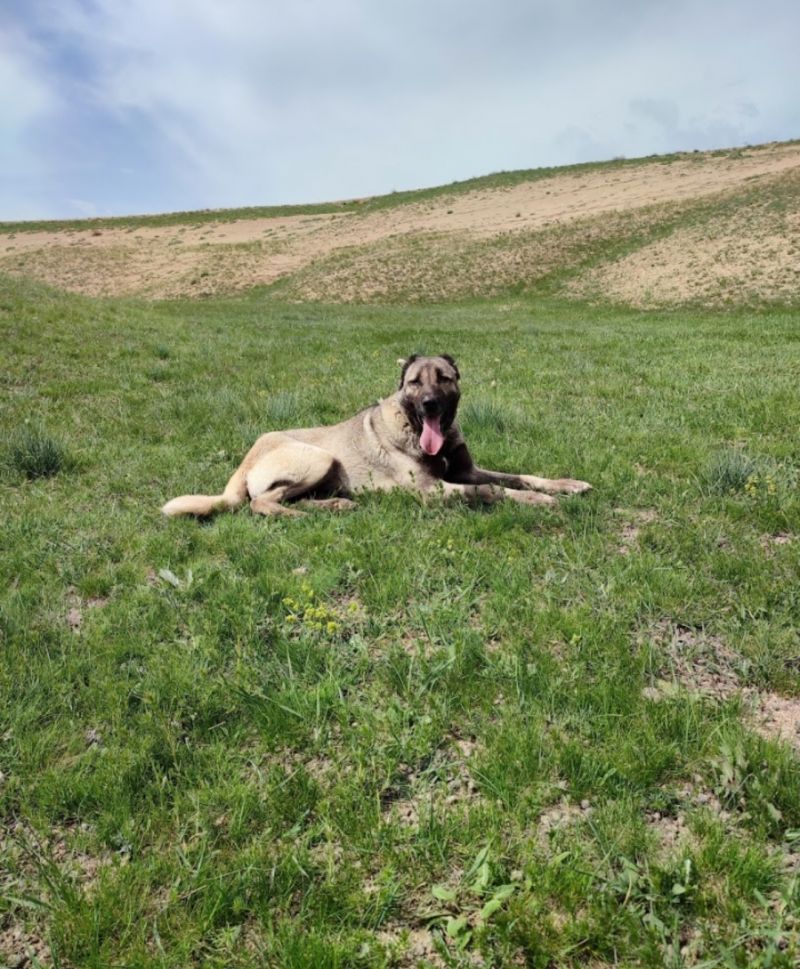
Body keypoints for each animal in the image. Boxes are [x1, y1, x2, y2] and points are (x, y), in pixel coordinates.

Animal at [161, 354, 591, 518]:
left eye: (444, 378)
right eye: (414, 382)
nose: (430, 404)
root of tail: (247, 458)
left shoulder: (465, 471)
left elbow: (518, 476)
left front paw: (567, 484)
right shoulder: (434, 491)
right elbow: (494, 490)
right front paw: (538, 501)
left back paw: (335, 505)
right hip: (319, 457)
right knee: (260, 503)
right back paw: (301, 514)